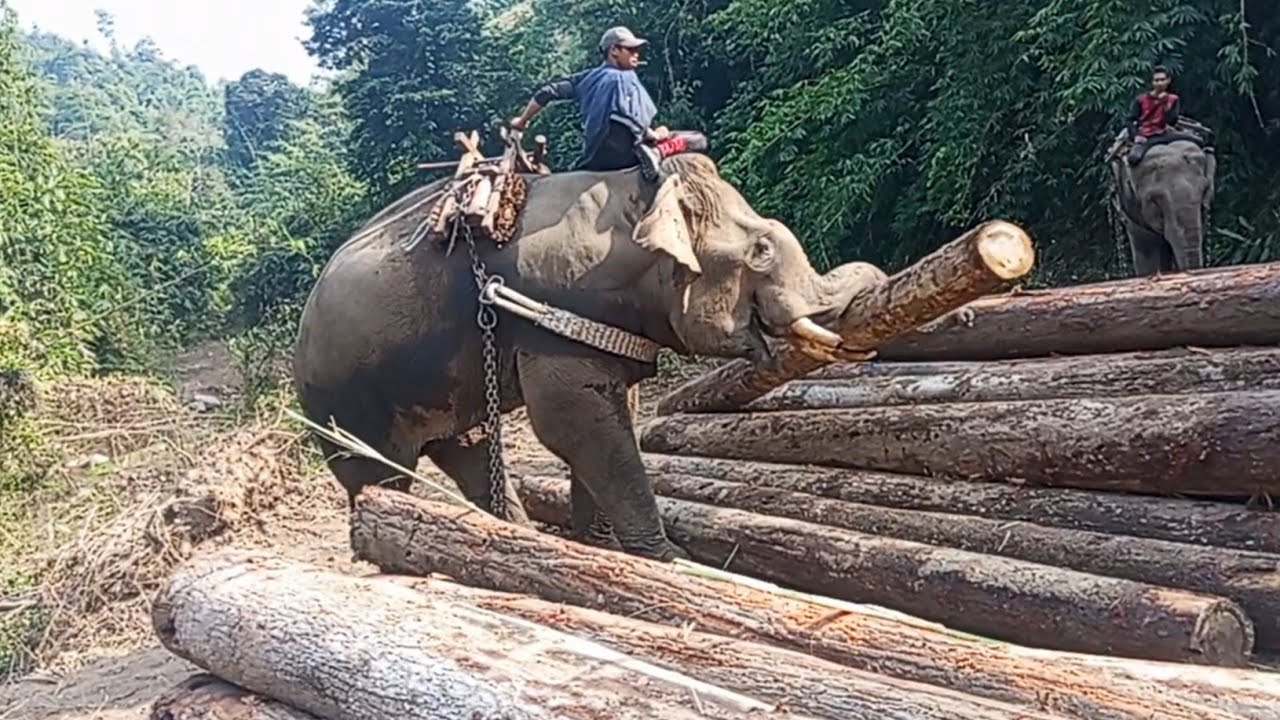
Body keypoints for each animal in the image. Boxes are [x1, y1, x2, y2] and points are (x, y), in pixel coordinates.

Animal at [292, 152, 886, 561]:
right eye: (761, 250)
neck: (636, 192)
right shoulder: (556, 320)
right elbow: (573, 423)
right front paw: (670, 560)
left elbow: (608, 417)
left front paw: (603, 548)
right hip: (342, 402)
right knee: (377, 475)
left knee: (470, 450)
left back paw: (517, 536)